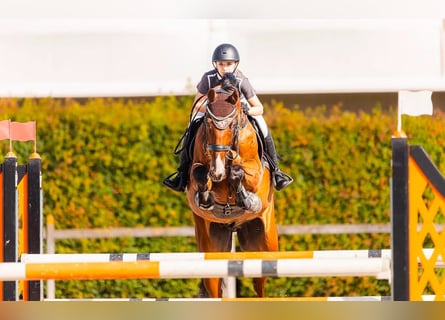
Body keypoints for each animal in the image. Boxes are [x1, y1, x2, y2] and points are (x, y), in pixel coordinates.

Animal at [185, 87, 278, 298]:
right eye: (208, 124)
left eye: (233, 125)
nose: (217, 172)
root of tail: (234, 227)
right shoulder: (197, 169)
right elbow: (200, 173)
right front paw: (205, 198)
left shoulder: (256, 172)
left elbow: (238, 171)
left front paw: (245, 199)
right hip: (211, 248)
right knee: (214, 287)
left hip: (266, 244)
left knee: (260, 283)